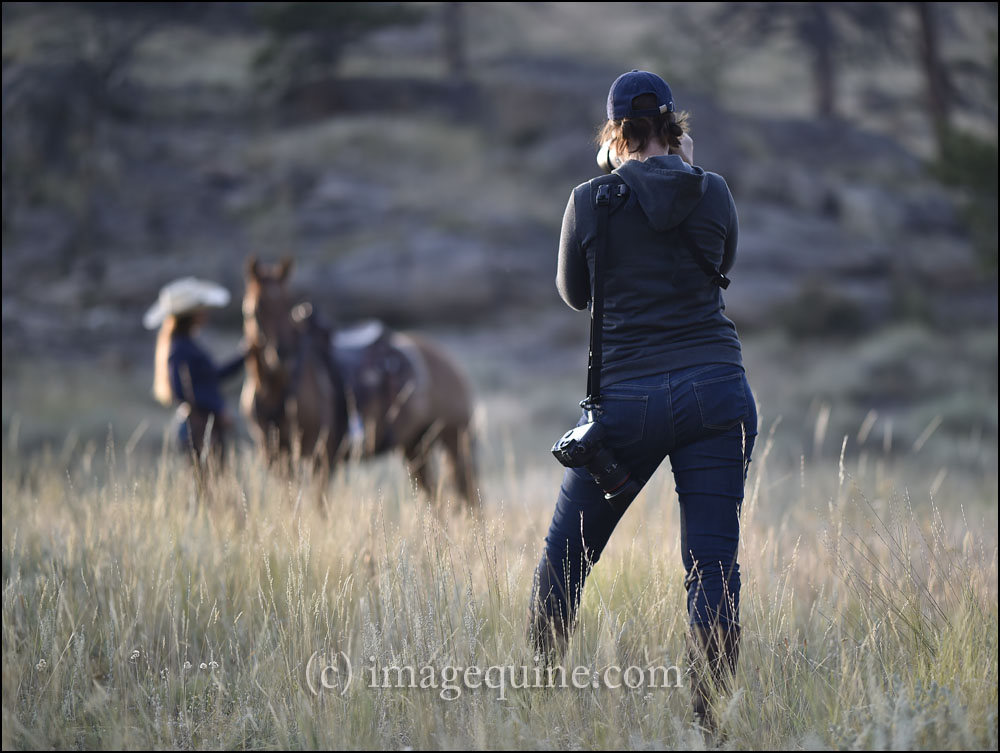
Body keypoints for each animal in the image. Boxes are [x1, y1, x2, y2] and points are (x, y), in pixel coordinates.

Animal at [240, 257, 480, 510]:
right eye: (253, 310)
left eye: (287, 304)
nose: (282, 353)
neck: (279, 389)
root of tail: (449, 362)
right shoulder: (275, 457)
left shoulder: (321, 456)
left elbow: (319, 506)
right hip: (416, 449)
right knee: (436, 499)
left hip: (455, 443)